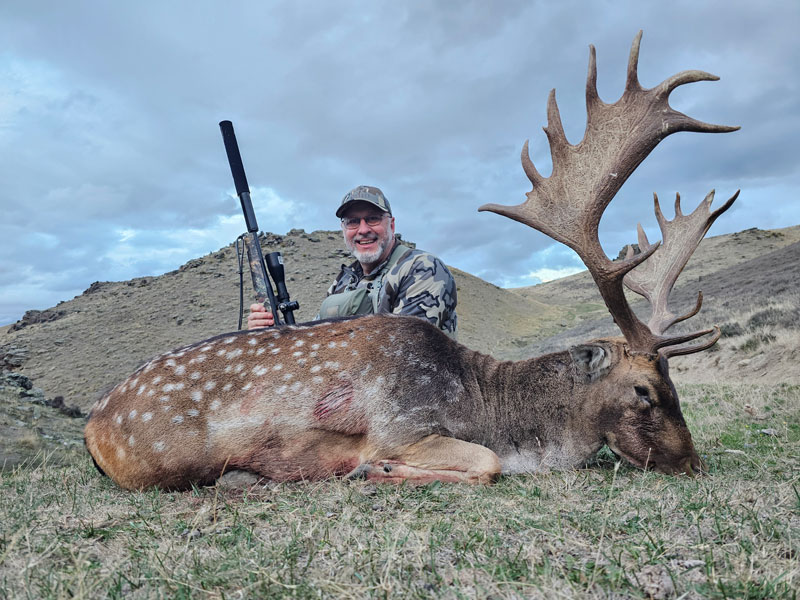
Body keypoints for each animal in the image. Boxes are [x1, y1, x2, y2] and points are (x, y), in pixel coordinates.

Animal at [85, 32, 739, 490]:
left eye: (675, 383)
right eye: (644, 392)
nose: (694, 464)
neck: (492, 408)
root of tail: (92, 424)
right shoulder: (402, 427)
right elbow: (486, 464)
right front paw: (375, 471)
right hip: (163, 458)